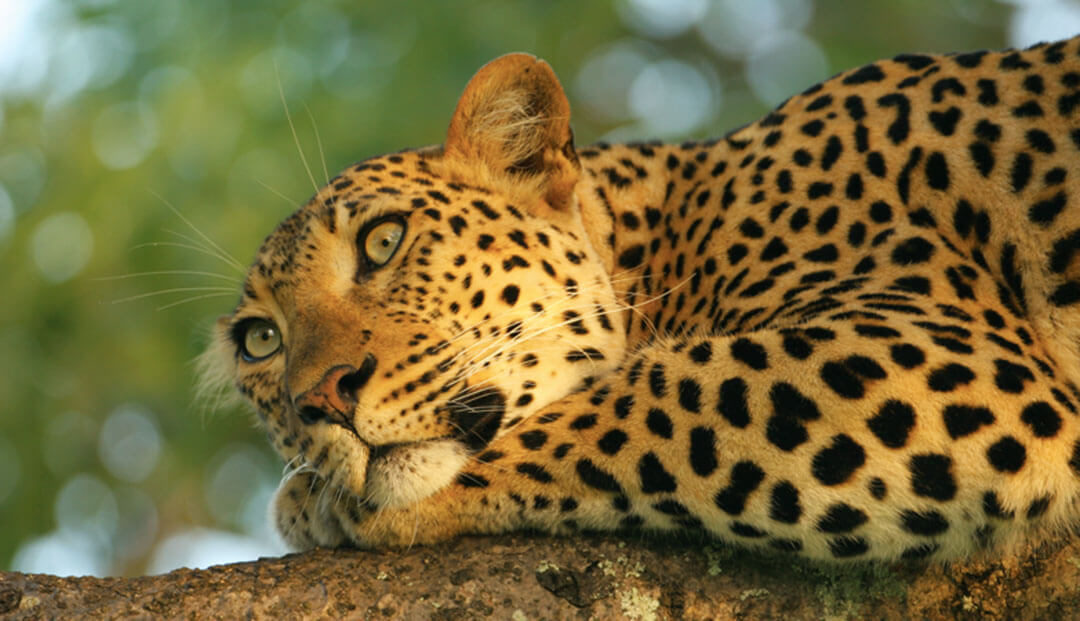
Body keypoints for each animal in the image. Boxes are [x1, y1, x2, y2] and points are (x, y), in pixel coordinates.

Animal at [202, 37, 1080, 561]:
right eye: (260, 341)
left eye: (383, 241)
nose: (321, 398)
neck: (667, 232)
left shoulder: (939, 346)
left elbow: (653, 394)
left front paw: (322, 500)